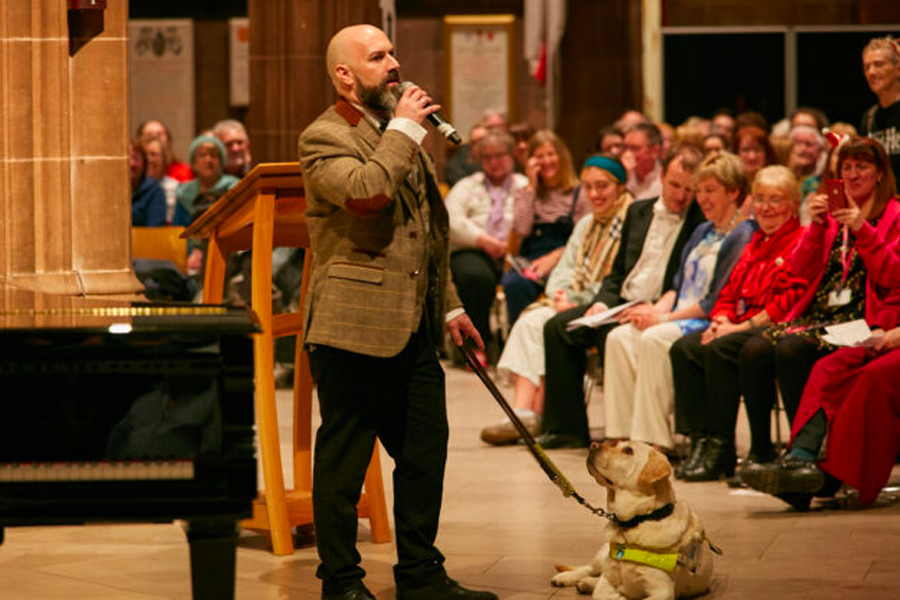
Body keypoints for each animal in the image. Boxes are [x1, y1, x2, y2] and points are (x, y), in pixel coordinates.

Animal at [552, 440, 712, 600]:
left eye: (628, 450)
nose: (593, 444)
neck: (638, 521)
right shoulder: (608, 578)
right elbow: (601, 592)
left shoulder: (662, 590)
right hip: (602, 555)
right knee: (589, 568)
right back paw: (566, 577)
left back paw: (584, 583)